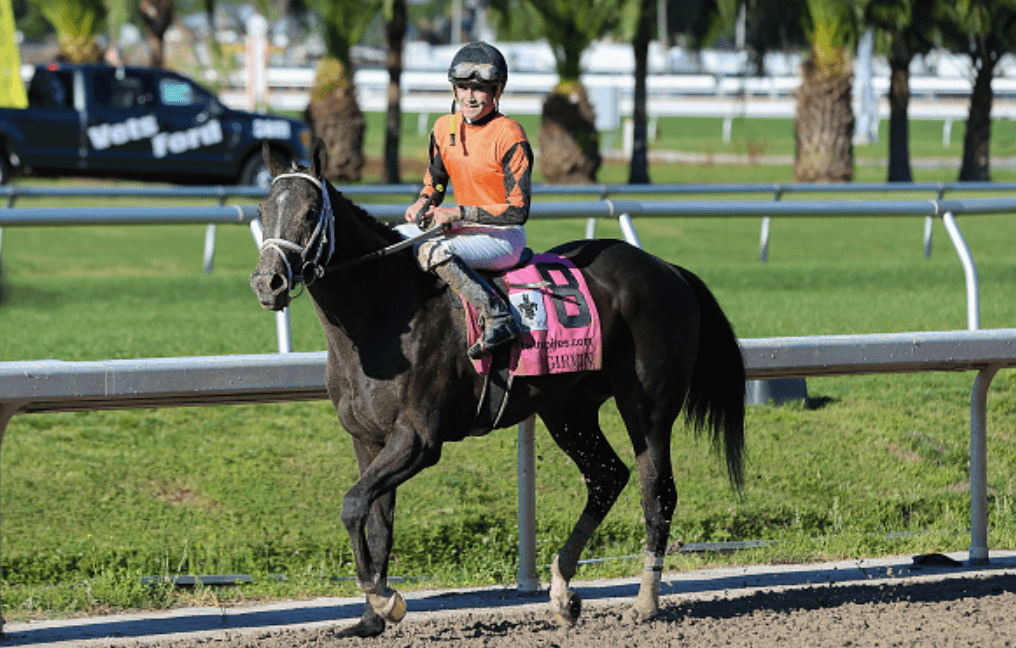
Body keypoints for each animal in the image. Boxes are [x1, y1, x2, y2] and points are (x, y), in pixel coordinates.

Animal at [249, 140, 747, 637]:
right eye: (263, 208)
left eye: (311, 211)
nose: (268, 281)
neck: (384, 315)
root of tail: (668, 269)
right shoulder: (367, 439)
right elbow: (376, 519)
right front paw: (371, 617)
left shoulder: (418, 439)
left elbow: (353, 504)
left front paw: (385, 599)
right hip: (568, 410)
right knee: (607, 477)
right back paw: (562, 591)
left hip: (647, 406)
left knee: (657, 491)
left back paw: (645, 601)